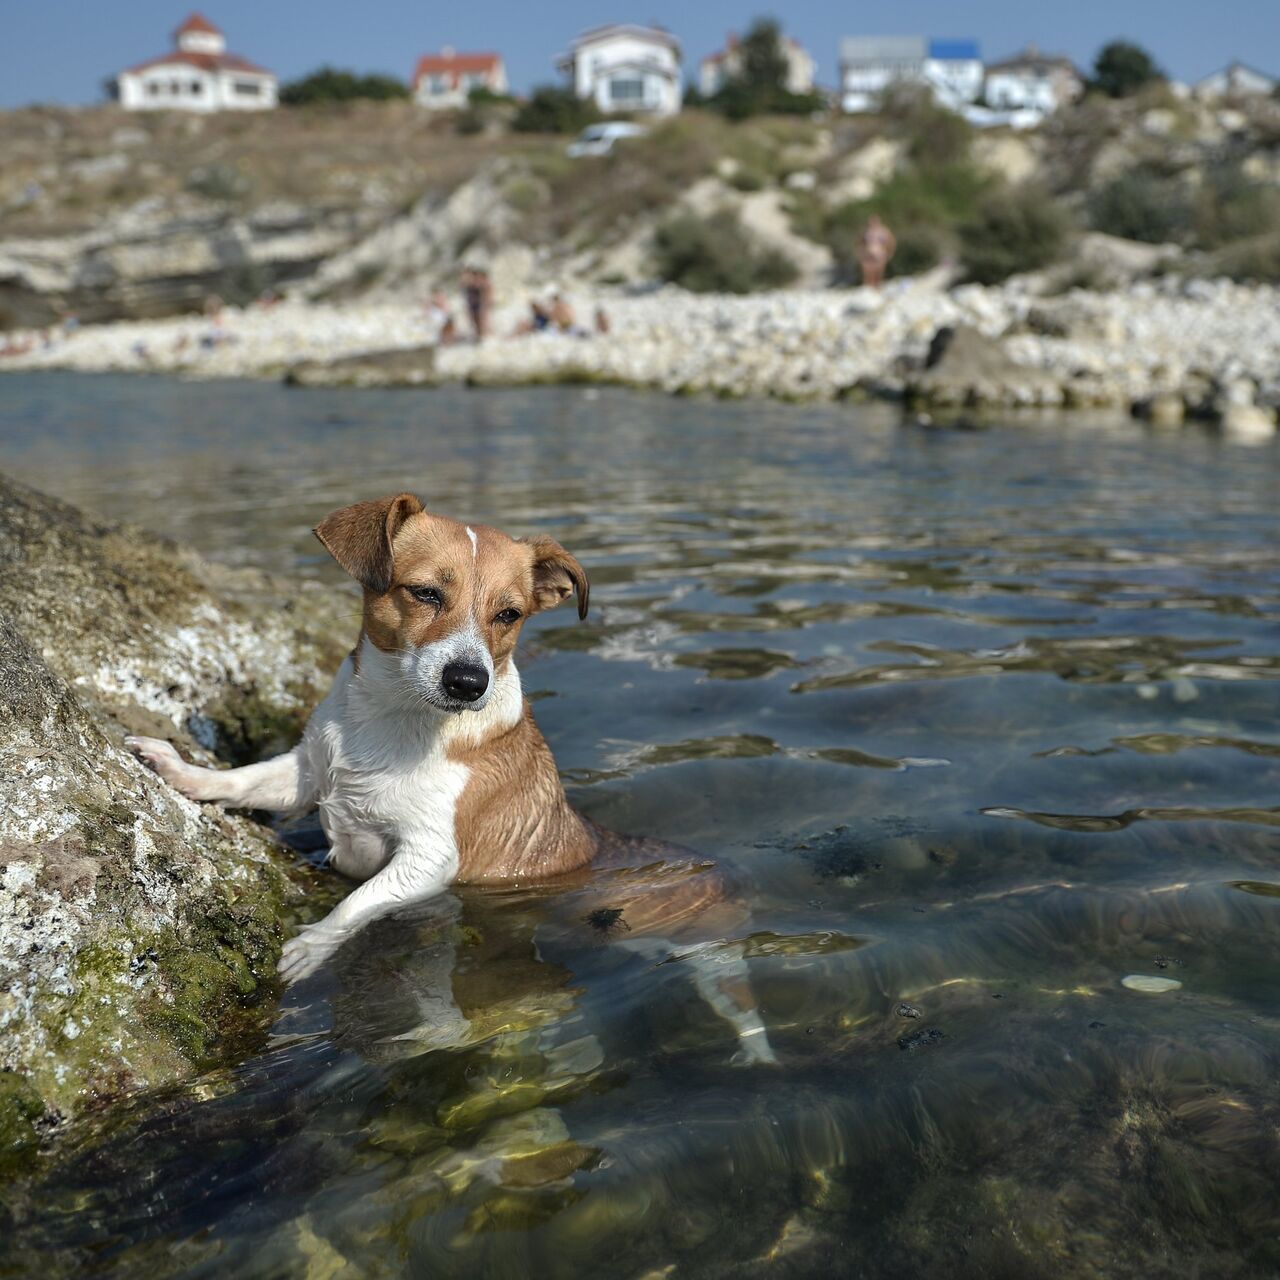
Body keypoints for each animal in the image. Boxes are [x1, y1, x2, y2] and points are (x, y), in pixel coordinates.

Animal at [127, 494, 778, 1064]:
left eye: (509, 615)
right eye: (424, 593)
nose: (468, 681)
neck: (395, 722)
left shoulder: (429, 859)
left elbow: (357, 905)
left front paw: (311, 946)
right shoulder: (307, 775)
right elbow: (240, 780)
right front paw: (179, 770)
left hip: (709, 955)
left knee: (741, 1005)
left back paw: (758, 1055)